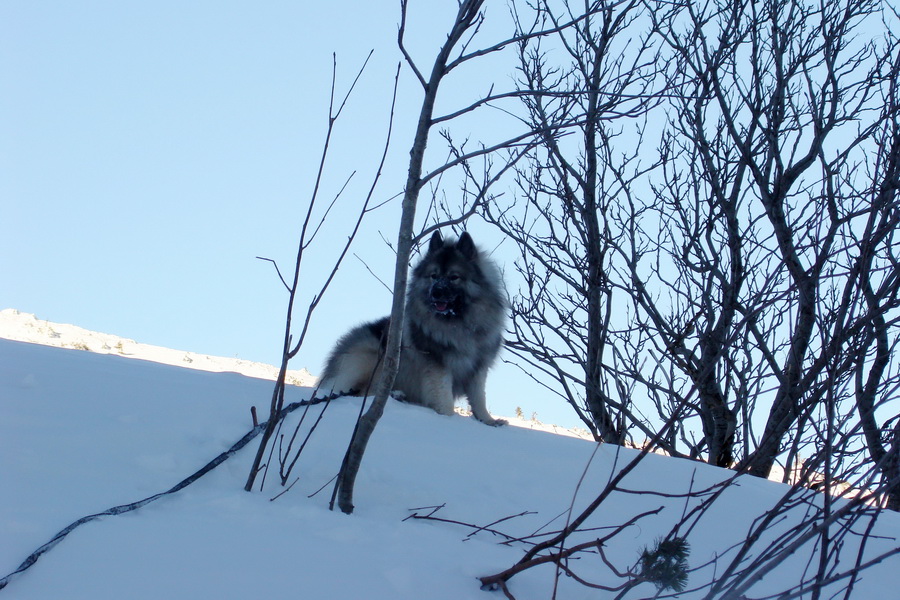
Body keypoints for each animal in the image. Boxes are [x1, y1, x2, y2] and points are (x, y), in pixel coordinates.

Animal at [320, 231, 510, 426]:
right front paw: (448, 419)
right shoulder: (438, 365)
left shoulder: (478, 368)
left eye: (454, 277)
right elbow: (444, 397)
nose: (436, 292)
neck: (458, 323)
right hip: (376, 356)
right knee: (366, 392)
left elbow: (479, 398)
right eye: (433, 276)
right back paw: (396, 395)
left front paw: (488, 421)